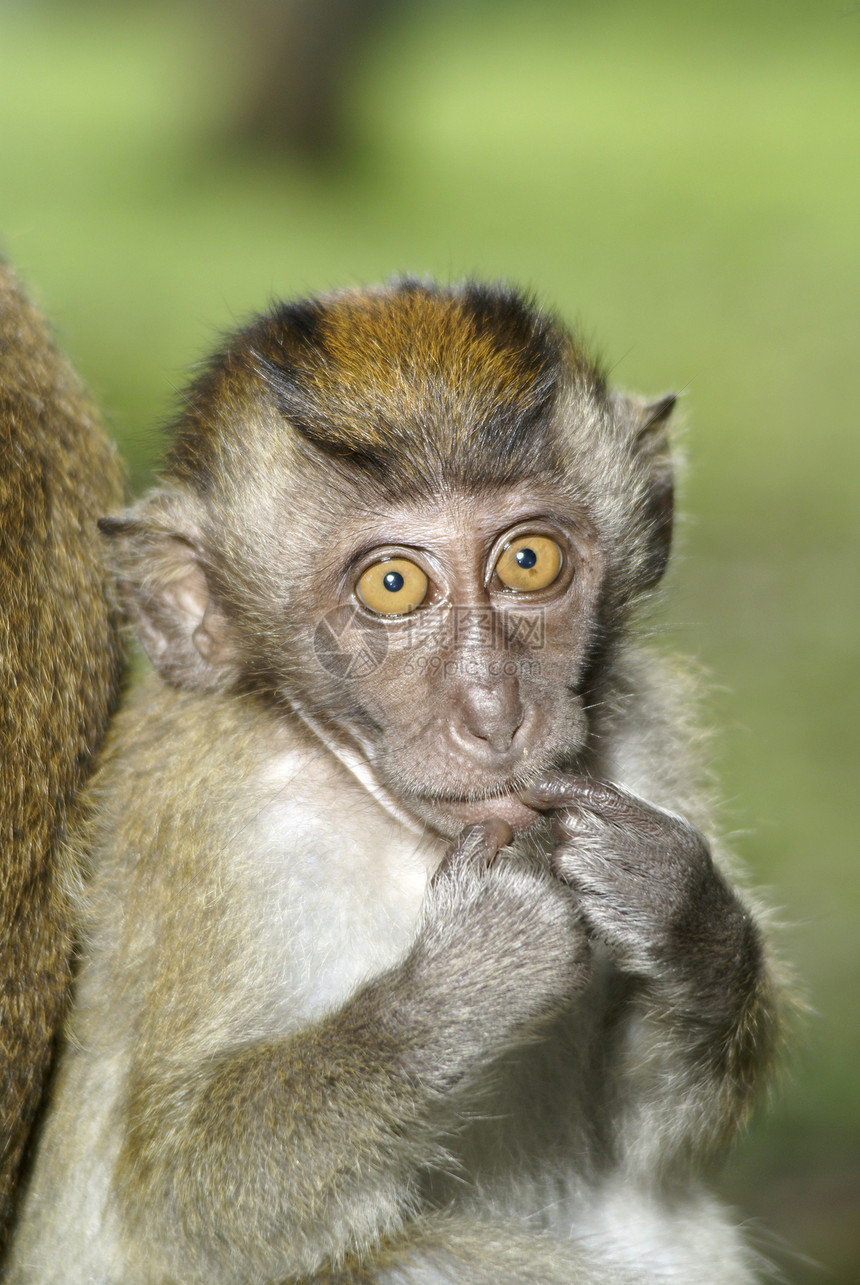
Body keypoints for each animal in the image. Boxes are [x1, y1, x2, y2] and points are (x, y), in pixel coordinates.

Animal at [6, 281, 776, 1285]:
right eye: (394, 585)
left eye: (529, 560)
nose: (494, 712)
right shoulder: (216, 823)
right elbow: (183, 1198)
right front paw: (465, 980)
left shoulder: (642, 739)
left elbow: (648, 1144)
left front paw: (681, 911)